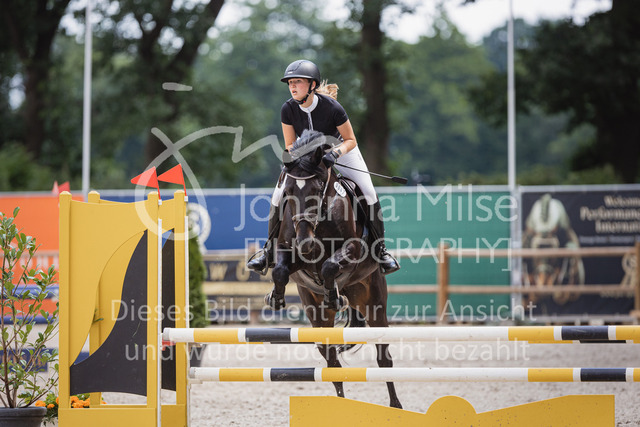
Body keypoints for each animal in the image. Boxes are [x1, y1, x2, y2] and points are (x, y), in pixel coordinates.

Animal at [264, 130, 402, 409]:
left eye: (318, 189)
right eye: (289, 191)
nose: (305, 243)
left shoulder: (353, 249)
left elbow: (329, 266)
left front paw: (332, 294)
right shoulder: (288, 251)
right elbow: (280, 271)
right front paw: (277, 297)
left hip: (373, 302)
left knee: (384, 358)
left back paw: (396, 406)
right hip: (316, 315)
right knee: (331, 362)